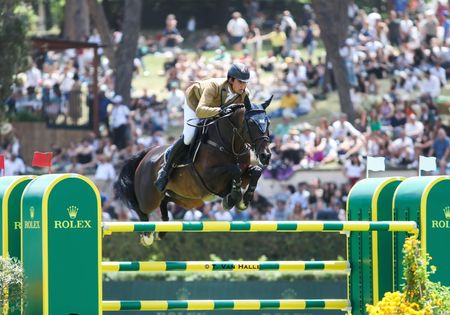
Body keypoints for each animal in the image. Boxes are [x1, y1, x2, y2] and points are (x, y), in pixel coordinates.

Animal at [114, 96, 272, 247]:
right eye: (251, 123)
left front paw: (244, 199)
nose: (266, 155)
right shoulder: (210, 178)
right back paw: (147, 235)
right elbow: (235, 170)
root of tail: (146, 154)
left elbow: (255, 171)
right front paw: (233, 198)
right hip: (149, 198)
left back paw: (162, 230)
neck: (230, 144)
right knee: (142, 210)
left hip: (187, 200)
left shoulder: (244, 175)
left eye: (268, 123)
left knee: (165, 201)